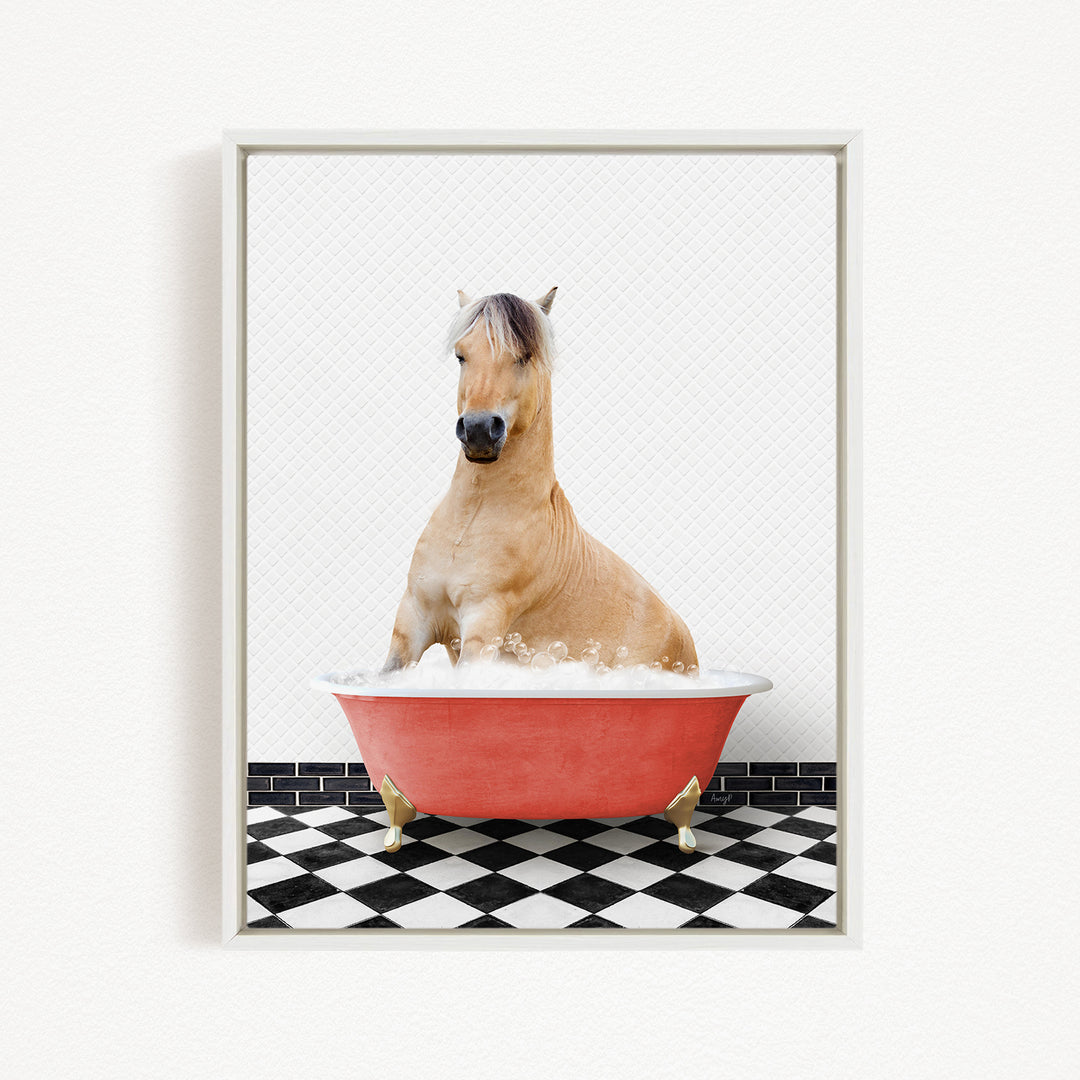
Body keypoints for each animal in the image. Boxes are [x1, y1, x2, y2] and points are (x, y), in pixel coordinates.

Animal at [383, 288, 698, 674]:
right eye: (461, 356)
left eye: (524, 356)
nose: (478, 430)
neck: (471, 521)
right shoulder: (413, 618)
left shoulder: (483, 625)